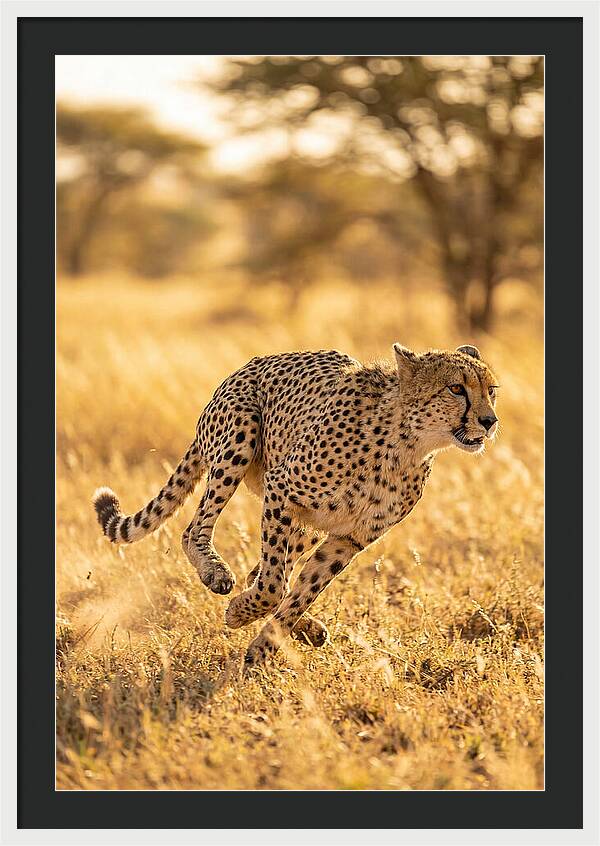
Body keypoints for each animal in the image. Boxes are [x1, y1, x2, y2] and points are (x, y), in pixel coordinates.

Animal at [93, 342, 499, 669]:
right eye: (456, 388)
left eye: (491, 391)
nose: (489, 421)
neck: (407, 443)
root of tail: (246, 366)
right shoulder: (281, 489)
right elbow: (274, 584)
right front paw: (239, 614)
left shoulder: (348, 538)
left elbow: (302, 590)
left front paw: (264, 645)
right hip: (240, 435)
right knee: (196, 531)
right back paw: (216, 572)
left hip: (309, 525)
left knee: (262, 571)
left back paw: (307, 629)